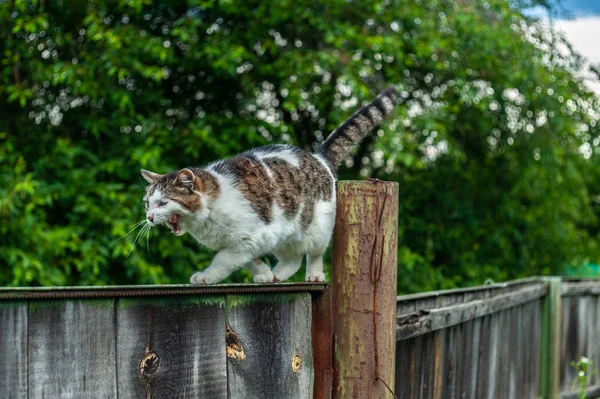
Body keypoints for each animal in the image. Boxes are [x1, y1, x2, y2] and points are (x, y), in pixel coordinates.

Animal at [141, 89, 398, 286]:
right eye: (147, 204)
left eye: (163, 202)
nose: (150, 217)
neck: (207, 218)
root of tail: (318, 158)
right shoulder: (255, 239)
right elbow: (247, 260)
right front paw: (263, 273)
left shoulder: (250, 236)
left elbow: (224, 259)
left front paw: (207, 276)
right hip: (284, 234)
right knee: (293, 259)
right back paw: (276, 274)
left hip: (317, 229)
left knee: (314, 253)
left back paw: (315, 275)